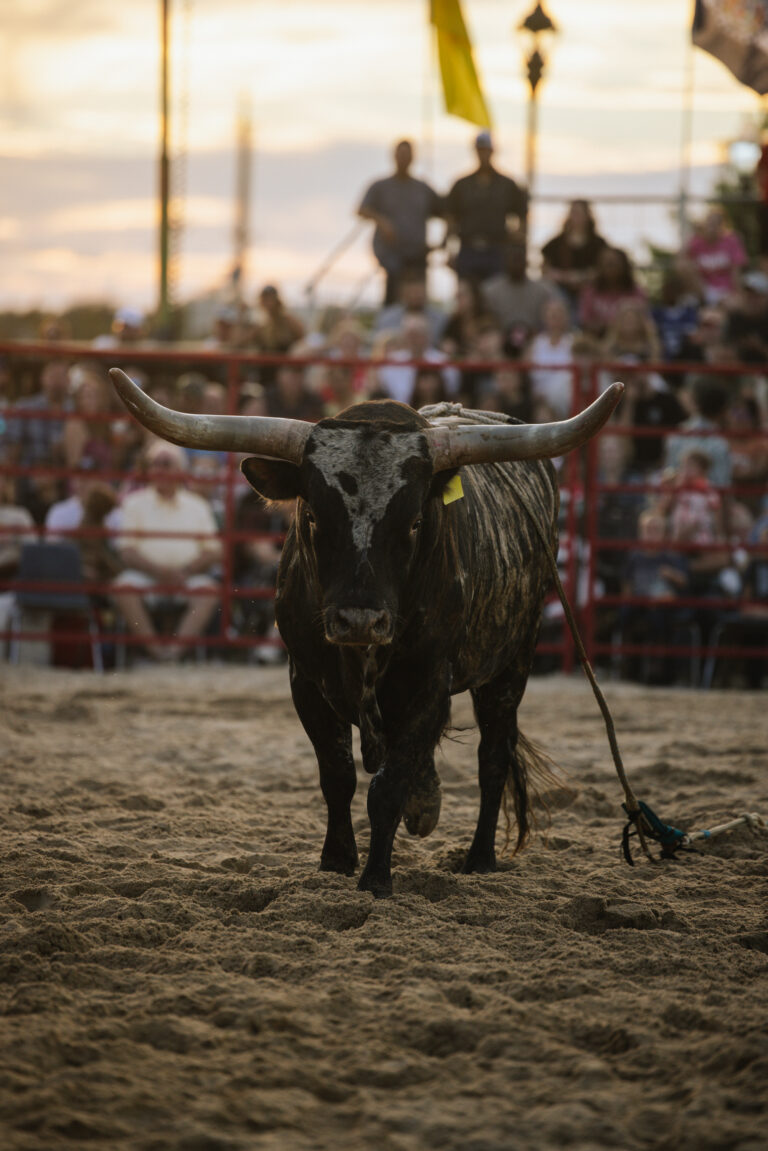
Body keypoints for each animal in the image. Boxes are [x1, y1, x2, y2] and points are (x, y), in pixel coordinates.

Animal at [110, 368, 623, 897]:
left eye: (415, 522)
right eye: (313, 516)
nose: (359, 621)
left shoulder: (429, 684)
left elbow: (388, 788)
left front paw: (376, 876)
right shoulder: (306, 681)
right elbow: (337, 776)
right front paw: (336, 861)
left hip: (512, 662)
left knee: (493, 758)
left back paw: (479, 858)